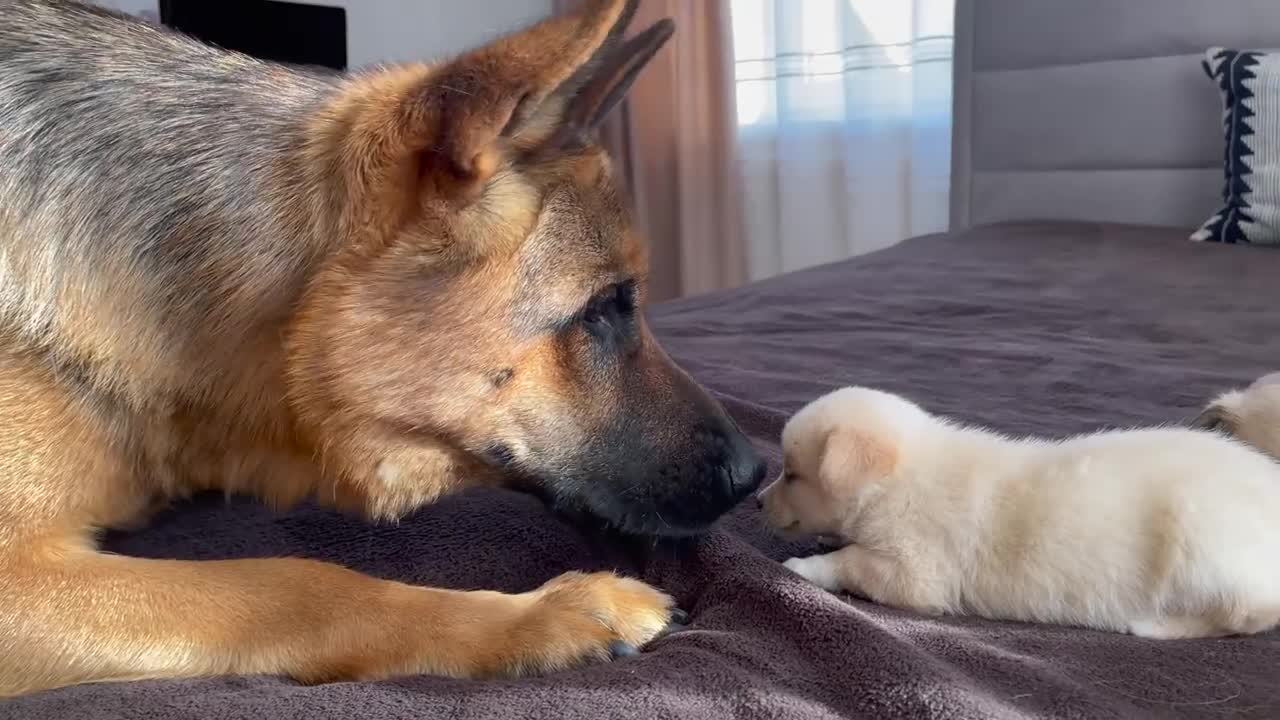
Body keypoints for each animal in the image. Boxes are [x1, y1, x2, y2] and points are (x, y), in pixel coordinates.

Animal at [752, 384, 1280, 635]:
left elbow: (850, 562)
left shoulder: (915, 571)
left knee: (1249, 614)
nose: (756, 500)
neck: (897, 480)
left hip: (1205, 547)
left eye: (792, 475)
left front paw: (804, 566)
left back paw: (1155, 626)